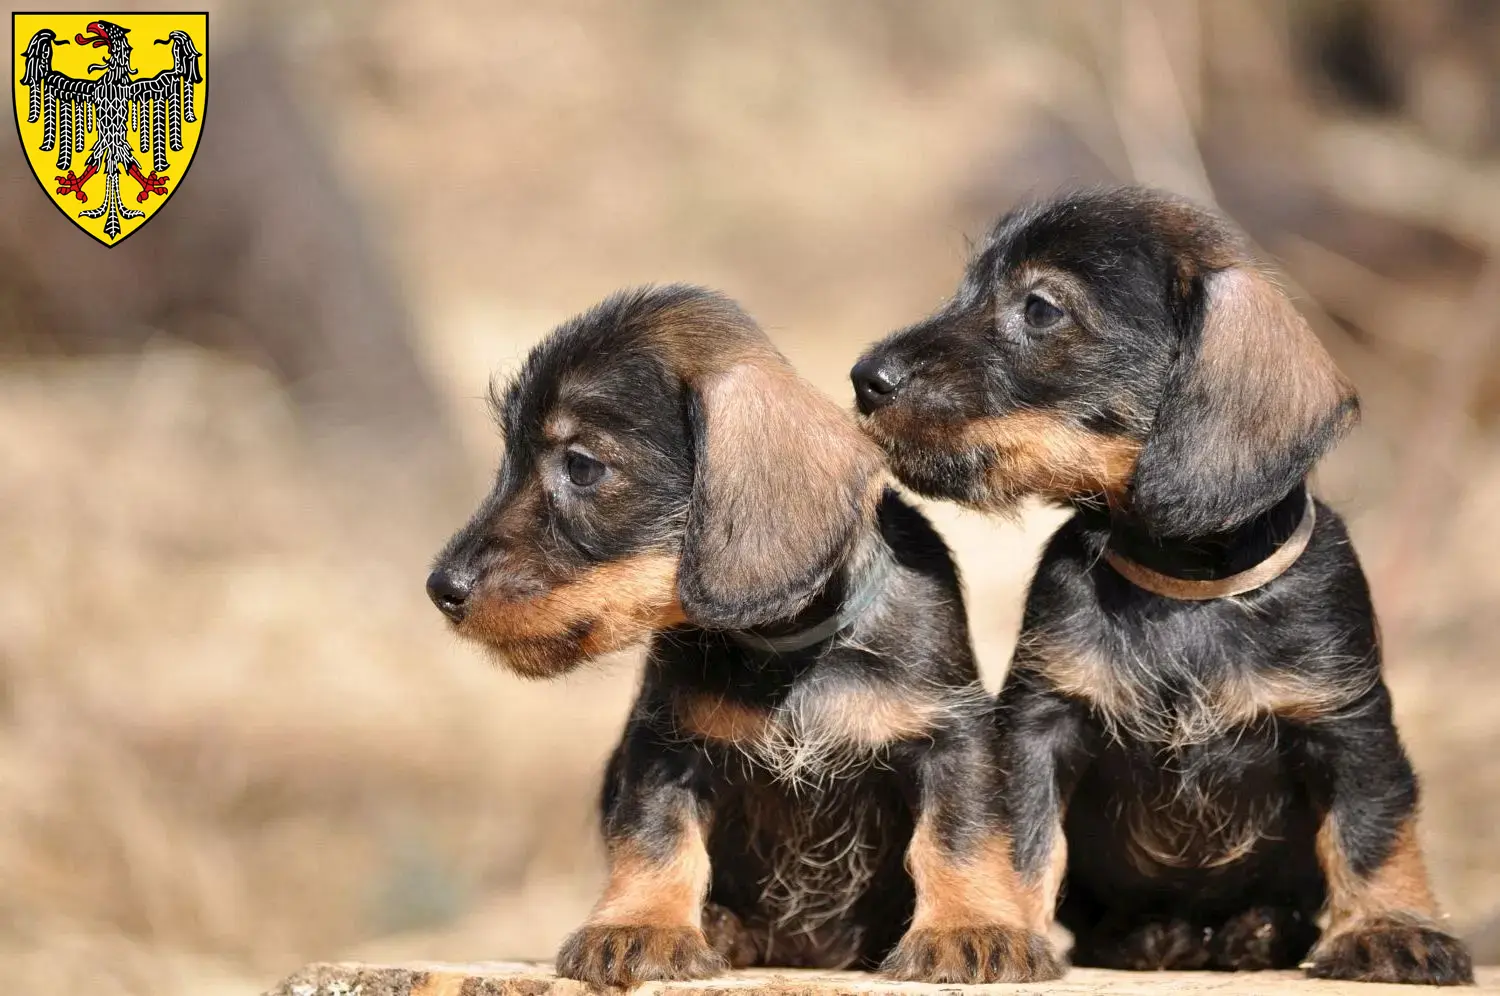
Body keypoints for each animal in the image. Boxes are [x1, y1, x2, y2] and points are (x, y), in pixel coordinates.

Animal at [423, 286, 1062, 990]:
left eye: (582, 465)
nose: (442, 588)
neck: (789, 653)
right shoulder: (665, 744)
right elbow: (656, 834)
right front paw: (639, 926)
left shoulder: (951, 735)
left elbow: (956, 833)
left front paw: (971, 928)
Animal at [852, 189, 1470, 990]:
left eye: (1041, 308)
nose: (865, 378)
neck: (1184, 588)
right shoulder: (1041, 725)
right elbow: (1022, 837)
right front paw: (997, 926)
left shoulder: (1350, 722)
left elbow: (1370, 828)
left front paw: (1391, 928)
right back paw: (1152, 935)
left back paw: (1256, 931)